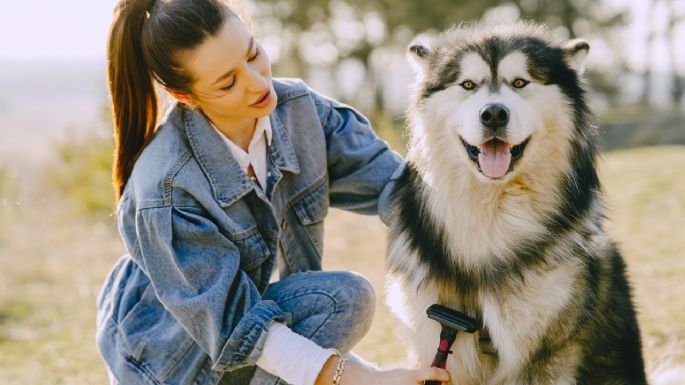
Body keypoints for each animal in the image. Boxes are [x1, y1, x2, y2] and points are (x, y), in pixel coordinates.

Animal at [384, 23, 648, 384]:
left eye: (520, 83)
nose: (494, 113)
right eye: (468, 84)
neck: (493, 213)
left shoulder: (544, 353)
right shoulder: (436, 341)